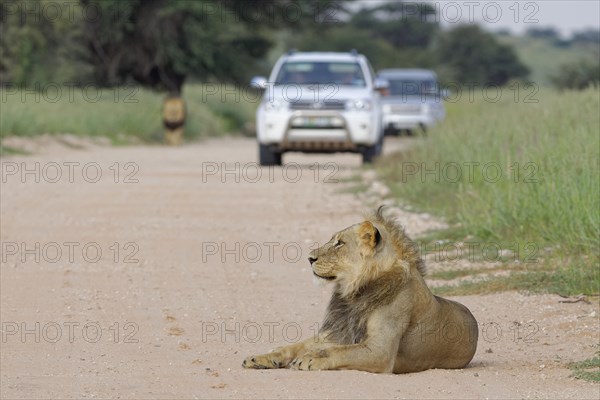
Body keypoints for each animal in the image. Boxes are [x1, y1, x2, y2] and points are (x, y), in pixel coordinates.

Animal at [243, 208, 478, 374]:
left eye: (339, 243)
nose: (309, 258)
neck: (352, 292)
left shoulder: (380, 350)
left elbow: (342, 351)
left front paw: (312, 358)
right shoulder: (338, 331)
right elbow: (293, 346)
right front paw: (261, 357)